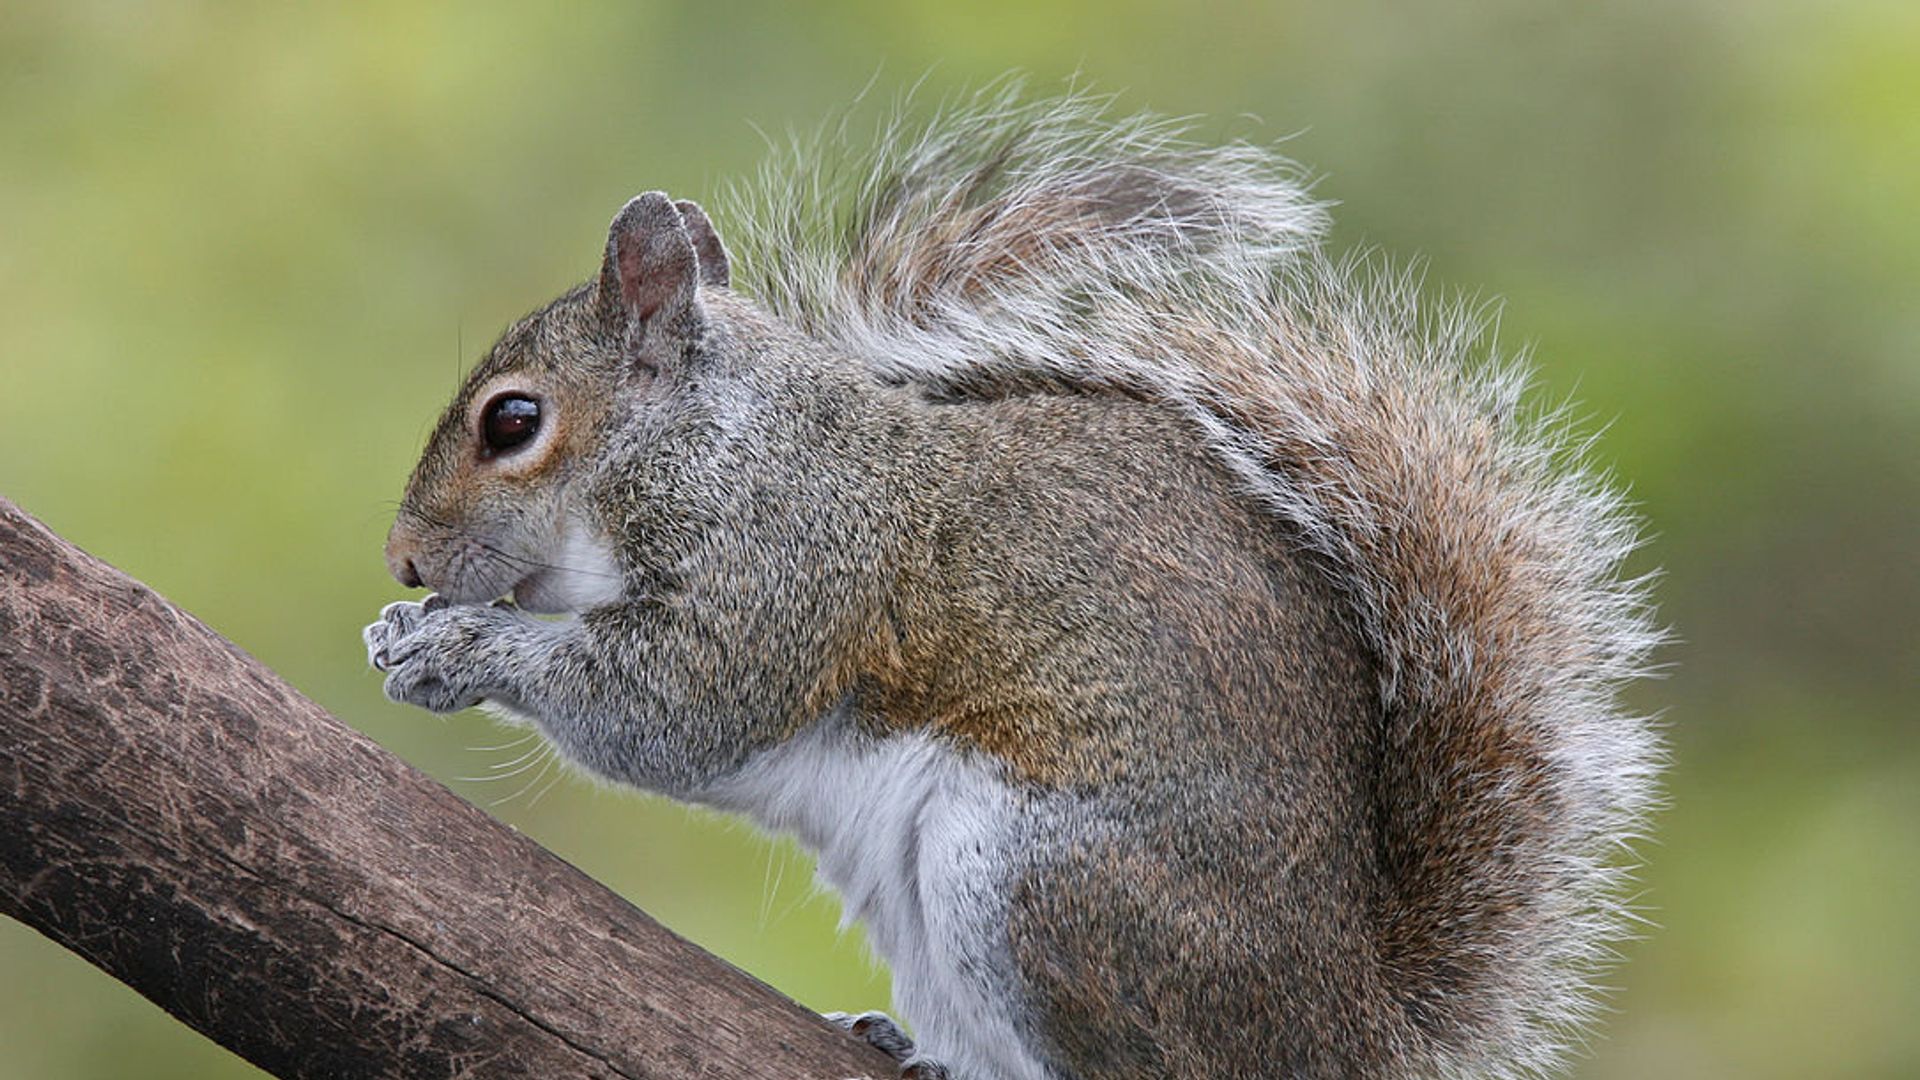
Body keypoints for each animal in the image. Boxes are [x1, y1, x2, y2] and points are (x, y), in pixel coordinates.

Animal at [363, 91, 1661, 1080]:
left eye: (512, 422)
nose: (404, 561)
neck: (710, 438)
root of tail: (1354, 1033)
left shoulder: (785, 564)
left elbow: (669, 707)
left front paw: (451, 649)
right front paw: (406, 627)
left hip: (1037, 889)